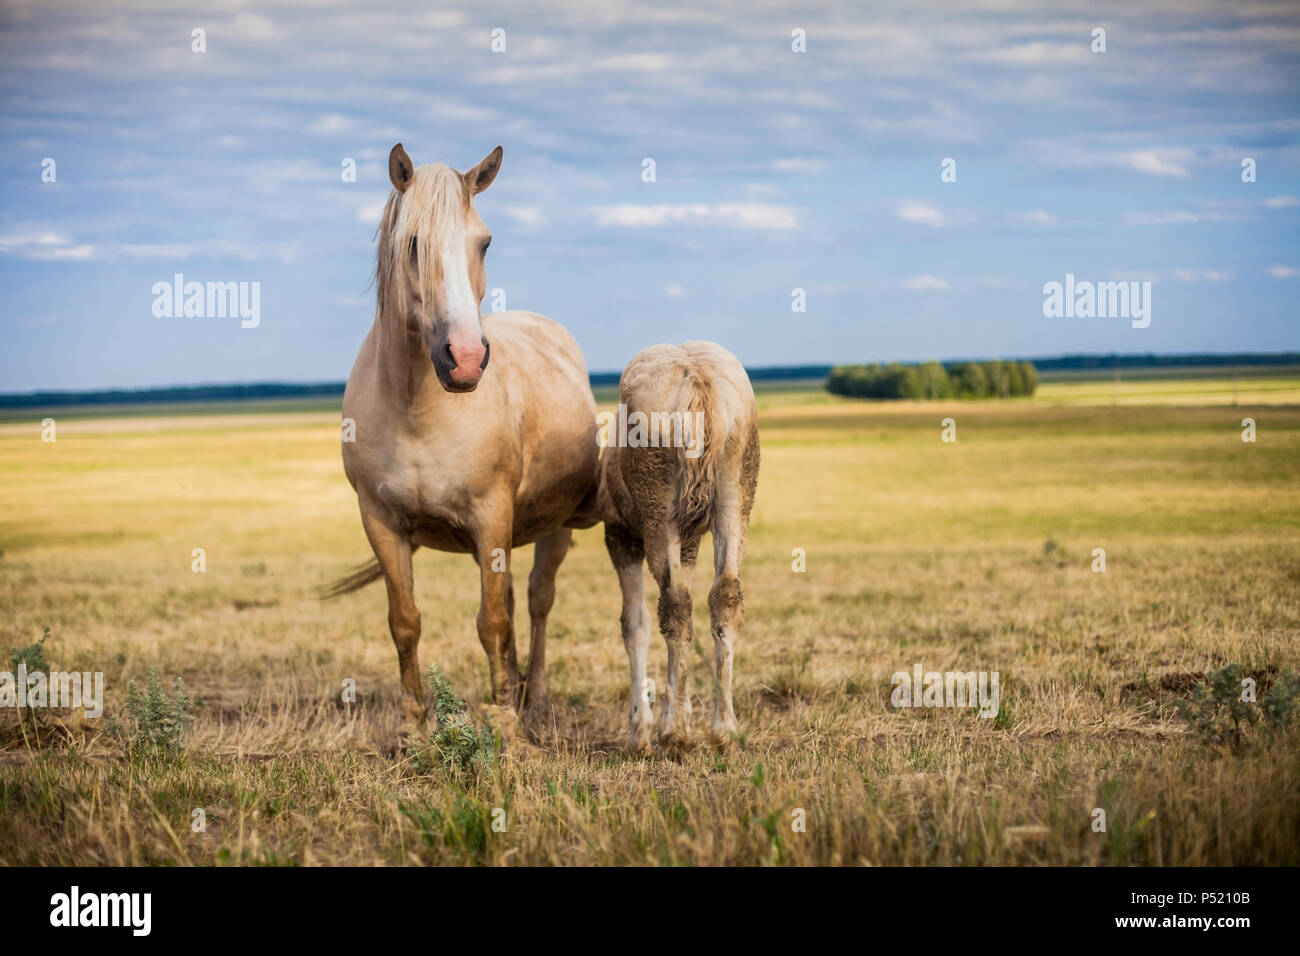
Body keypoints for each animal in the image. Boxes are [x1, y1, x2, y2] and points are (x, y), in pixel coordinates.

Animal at [325, 143, 599, 738]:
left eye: (485, 241)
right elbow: (404, 621)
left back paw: (535, 700)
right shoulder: (380, 522)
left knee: (538, 601)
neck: (417, 409)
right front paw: (413, 723)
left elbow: (492, 621)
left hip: (554, 528)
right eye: (412, 243)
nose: (467, 358)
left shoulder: (490, 516)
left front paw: (504, 721)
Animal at [595, 342, 760, 750]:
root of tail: (698, 378)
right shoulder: (689, 542)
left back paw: (674, 732)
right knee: (725, 595)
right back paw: (724, 729)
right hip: (736, 487)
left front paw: (640, 728)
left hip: (658, 509)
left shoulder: (619, 535)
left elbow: (634, 624)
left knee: (674, 603)